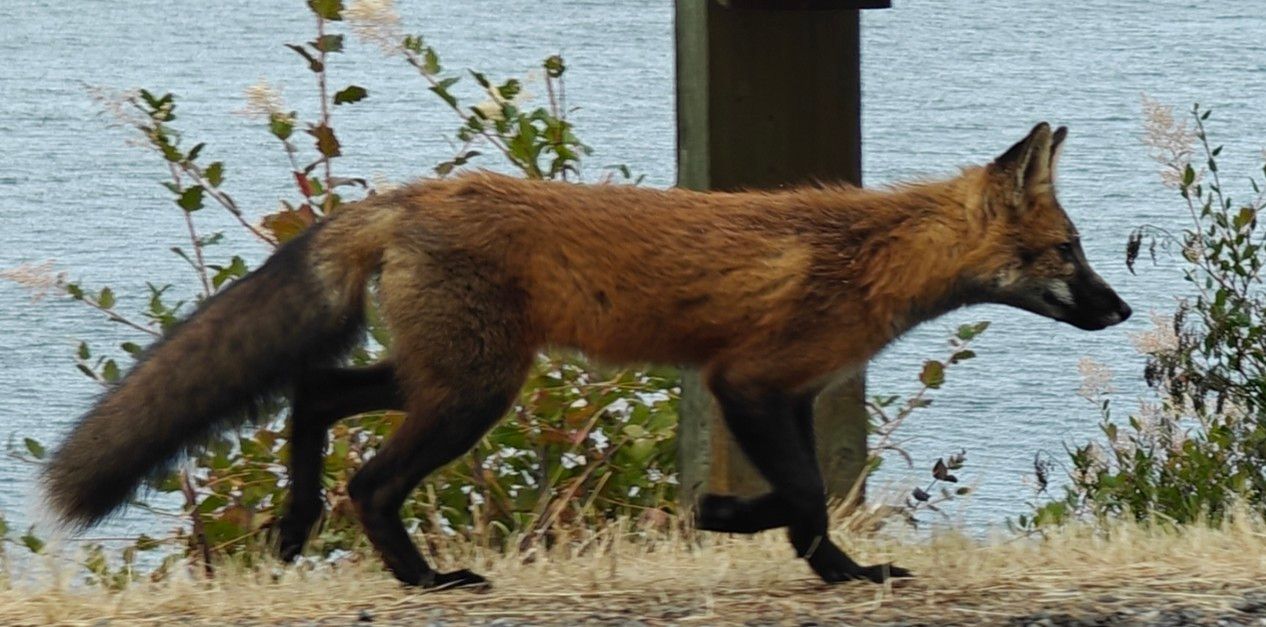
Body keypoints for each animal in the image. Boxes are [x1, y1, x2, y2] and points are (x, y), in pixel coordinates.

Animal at [43, 122, 1130, 589]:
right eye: (1069, 253)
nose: (1122, 311)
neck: (872, 256)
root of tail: (410, 196)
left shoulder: (783, 392)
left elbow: (810, 500)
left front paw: (820, 564)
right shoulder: (747, 382)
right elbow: (805, 497)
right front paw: (751, 531)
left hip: (448, 376)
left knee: (312, 393)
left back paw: (295, 524)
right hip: (473, 393)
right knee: (370, 477)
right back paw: (421, 581)